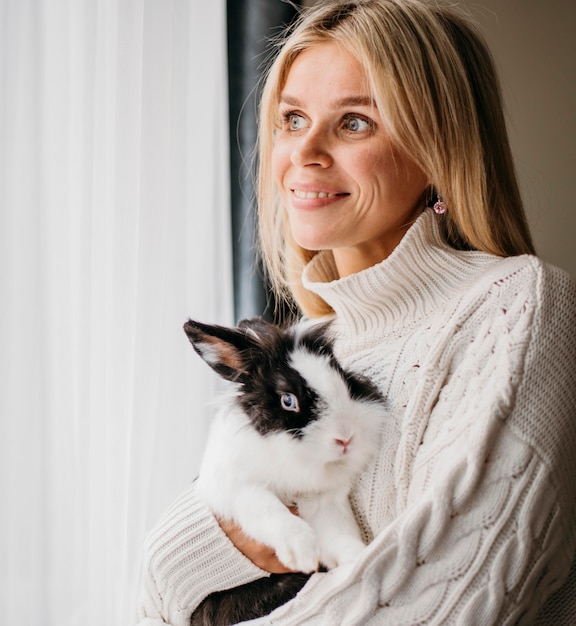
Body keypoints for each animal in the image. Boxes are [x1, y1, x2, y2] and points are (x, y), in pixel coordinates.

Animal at [184, 320, 390, 620]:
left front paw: (358, 559)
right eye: (288, 401)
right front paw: (302, 552)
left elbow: (339, 534)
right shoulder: (239, 489)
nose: (346, 437)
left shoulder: (325, 501)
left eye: (344, 380)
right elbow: (272, 512)